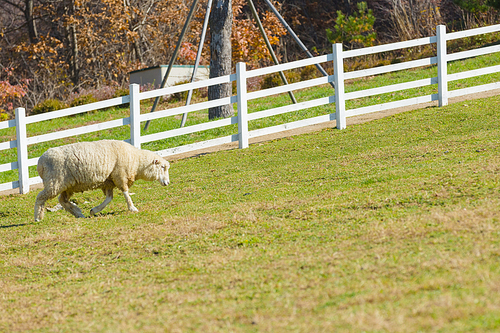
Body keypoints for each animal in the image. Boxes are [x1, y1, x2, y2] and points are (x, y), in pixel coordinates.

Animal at [33, 139, 170, 220]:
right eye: (162, 167)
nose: (167, 183)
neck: (136, 161)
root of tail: (40, 163)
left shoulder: (109, 182)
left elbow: (109, 199)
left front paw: (94, 210)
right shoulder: (120, 175)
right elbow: (126, 193)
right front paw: (132, 208)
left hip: (67, 185)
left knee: (62, 200)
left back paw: (78, 213)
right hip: (55, 182)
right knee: (41, 197)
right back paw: (38, 217)